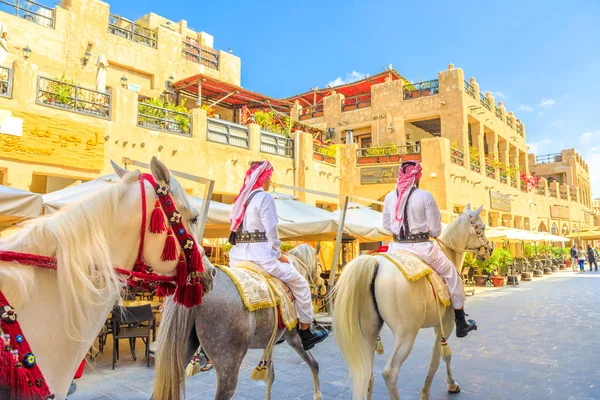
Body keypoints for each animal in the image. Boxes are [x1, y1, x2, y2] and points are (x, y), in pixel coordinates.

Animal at [332, 206, 492, 400]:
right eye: (481, 227)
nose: (490, 249)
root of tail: (375, 262)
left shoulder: (438, 325)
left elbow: (444, 355)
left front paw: (451, 384)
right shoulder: (446, 323)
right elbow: (438, 358)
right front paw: (431, 391)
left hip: (369, 331)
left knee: (367, 375)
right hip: (406, 333)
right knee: (390, 373)